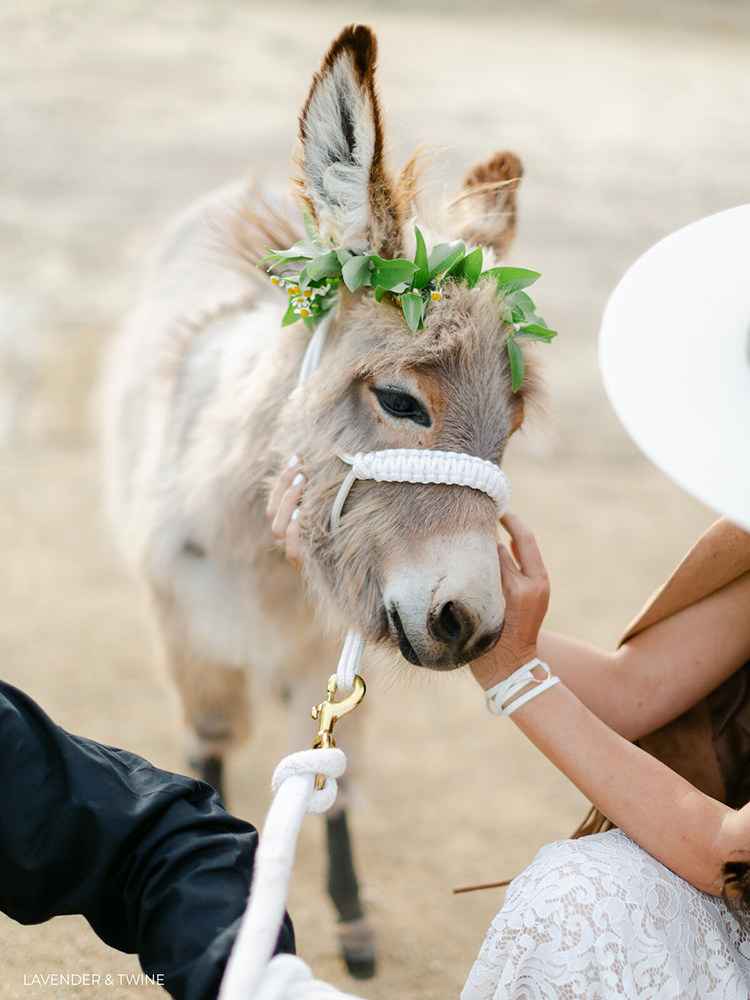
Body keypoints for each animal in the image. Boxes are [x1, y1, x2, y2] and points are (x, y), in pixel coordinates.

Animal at [103, 23, 549, 980]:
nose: (473, 624)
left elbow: (330, 778)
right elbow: (210, 745)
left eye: (515, 420)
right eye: (400, 401)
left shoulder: (329, 649)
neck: (262, 555)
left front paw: (350, 920)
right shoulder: (189, 633)